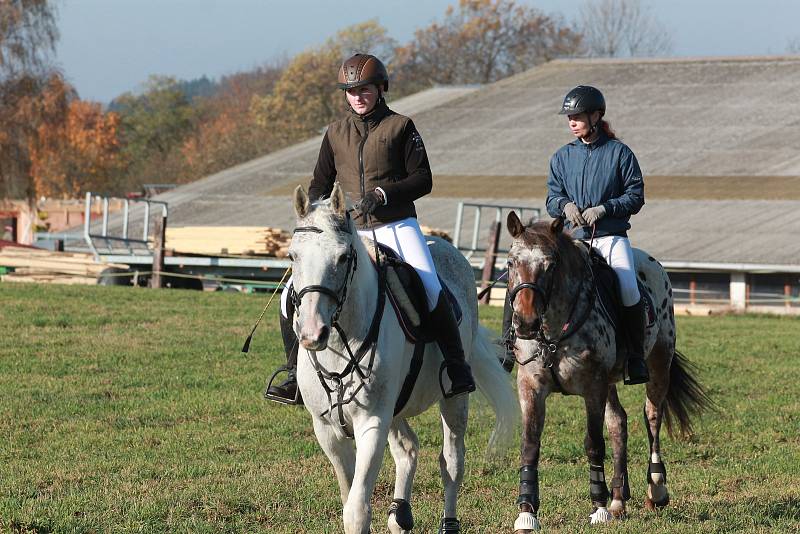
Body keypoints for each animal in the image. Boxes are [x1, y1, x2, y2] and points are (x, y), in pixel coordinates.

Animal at [288, 183, 520, 532]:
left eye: (343, 257)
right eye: (293, 256)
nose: (312, 334)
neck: (342, 339)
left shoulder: (372, 422)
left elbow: (356, 509)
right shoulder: (327, 429)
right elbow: (348, 494)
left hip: (453, 400)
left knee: (452, 461)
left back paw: (448, 523)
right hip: (395, 408)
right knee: (408, 449)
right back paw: (400, 515)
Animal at [504, 213, 708, 532]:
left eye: (551, 265)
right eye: (511, 263)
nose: (525, 322)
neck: (555, 332)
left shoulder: (593, 387)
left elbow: (593, 444)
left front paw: (598, 507)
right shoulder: (531, 387)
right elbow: (530, 446)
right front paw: (527, 512)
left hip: (659, 362)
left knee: (652, 417)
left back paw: (656, 489)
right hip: (612, 381)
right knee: (618, 423)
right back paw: (618, 499)